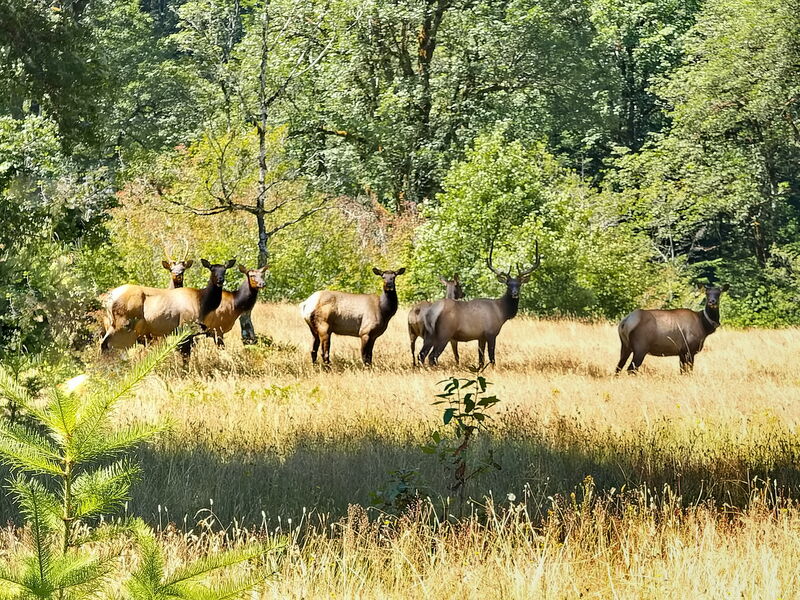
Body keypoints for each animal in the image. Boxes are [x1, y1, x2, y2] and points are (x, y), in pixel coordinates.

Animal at [100, 258, 236, 358]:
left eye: (225, 270)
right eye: (212, 269)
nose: (220, 280)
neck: (202, 303)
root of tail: (107, 300)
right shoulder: (185, 326)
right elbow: (185, 355)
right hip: (122, 324)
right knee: (105, 344)